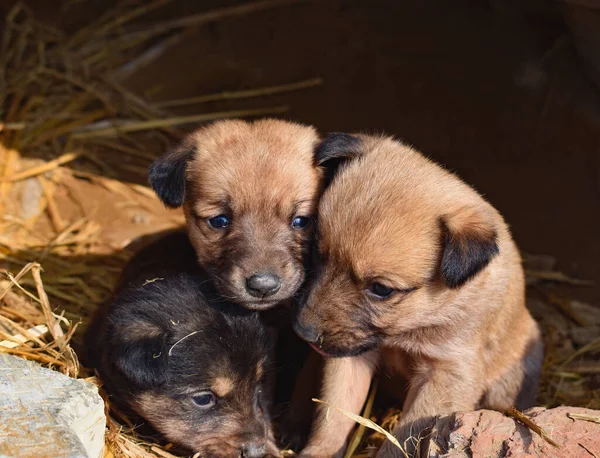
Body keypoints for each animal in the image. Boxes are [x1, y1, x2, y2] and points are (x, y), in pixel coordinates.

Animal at [296, 134, 544, 456]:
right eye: (317, 252)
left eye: (381, 289)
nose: (303, 331)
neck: (410, 329)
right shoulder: (350, 358)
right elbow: (333, 415)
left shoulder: (445, 374)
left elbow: (404, 437)